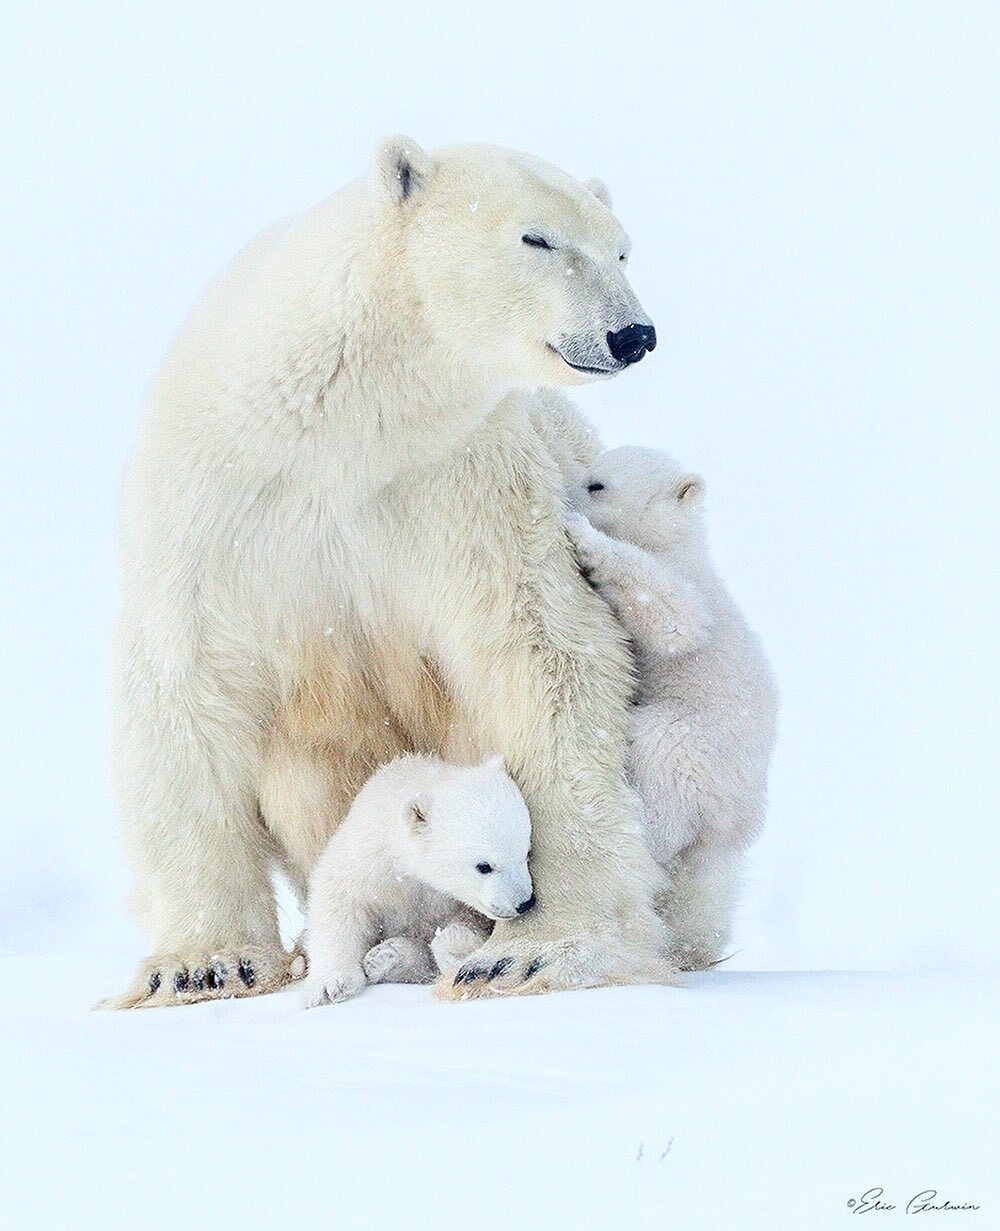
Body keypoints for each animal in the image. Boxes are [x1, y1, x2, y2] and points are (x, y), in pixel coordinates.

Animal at [302, 748, 532, 1009]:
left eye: (527, 852)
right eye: (484, 866)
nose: (524, 902)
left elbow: (467, 925)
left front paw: (458, 956)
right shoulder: (366, 859)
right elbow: (337, 900)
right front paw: (329, 987)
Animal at [566, 448, 778, 965]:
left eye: (598, 484)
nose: (564, 490)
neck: (681, 544)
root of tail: (729, 834)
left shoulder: (689, 588)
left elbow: (676, 616)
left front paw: (584, 535)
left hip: (702, 747)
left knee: (660, 749)